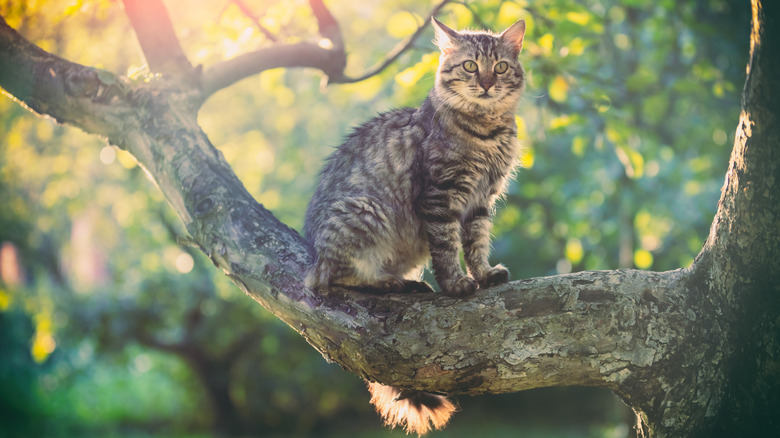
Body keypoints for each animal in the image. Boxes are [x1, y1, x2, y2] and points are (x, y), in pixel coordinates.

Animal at [302, 17, 528, 434]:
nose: (488, 83)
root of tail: (313, 256)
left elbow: (476, 244)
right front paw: (456, 284)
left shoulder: (481, 202)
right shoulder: (440, 196)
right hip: (364, 212)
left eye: (500, 67)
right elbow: (447, 247)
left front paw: (484, 274)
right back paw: (395, 283)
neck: (486, 132)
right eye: (471, 66)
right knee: (340, 277)